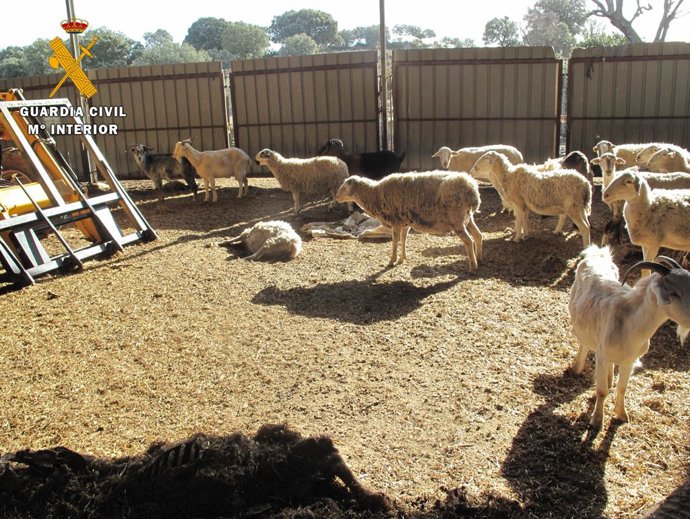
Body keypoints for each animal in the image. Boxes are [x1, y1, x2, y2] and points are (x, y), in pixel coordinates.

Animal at [334, 171, 483, 272]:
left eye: (344, 187)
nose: (336, 197)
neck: (374, 194)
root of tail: (472, 188)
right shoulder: (405, 223)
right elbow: (404, 239)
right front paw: (402, 258)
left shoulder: (395, 222)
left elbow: (395, 241)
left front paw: (392, 261)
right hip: (467, 218)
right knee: (478, 235)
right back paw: (479, 258)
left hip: (457, 220)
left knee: (468, 241)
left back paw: (473, 266)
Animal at [568, 245, 690, 429]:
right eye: (673, 293)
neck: (629, 323)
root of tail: (597, 253)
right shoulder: (602, 357)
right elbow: (602, 391)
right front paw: (596, 421)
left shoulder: (630, 361)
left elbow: (622, 388)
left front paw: (621, 415)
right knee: (584, 342)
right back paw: (577, 367)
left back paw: (609, 378)